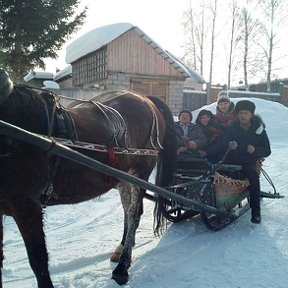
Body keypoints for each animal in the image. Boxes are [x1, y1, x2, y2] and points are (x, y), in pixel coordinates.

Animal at [0, 69, 178, 286]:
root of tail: (145, 99)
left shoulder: (26, 205)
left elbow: (38, 261)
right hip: (124, 177)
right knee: (128, 210)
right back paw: (122, 249)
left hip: (140, 171)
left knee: (134, 213)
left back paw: (122, 267)